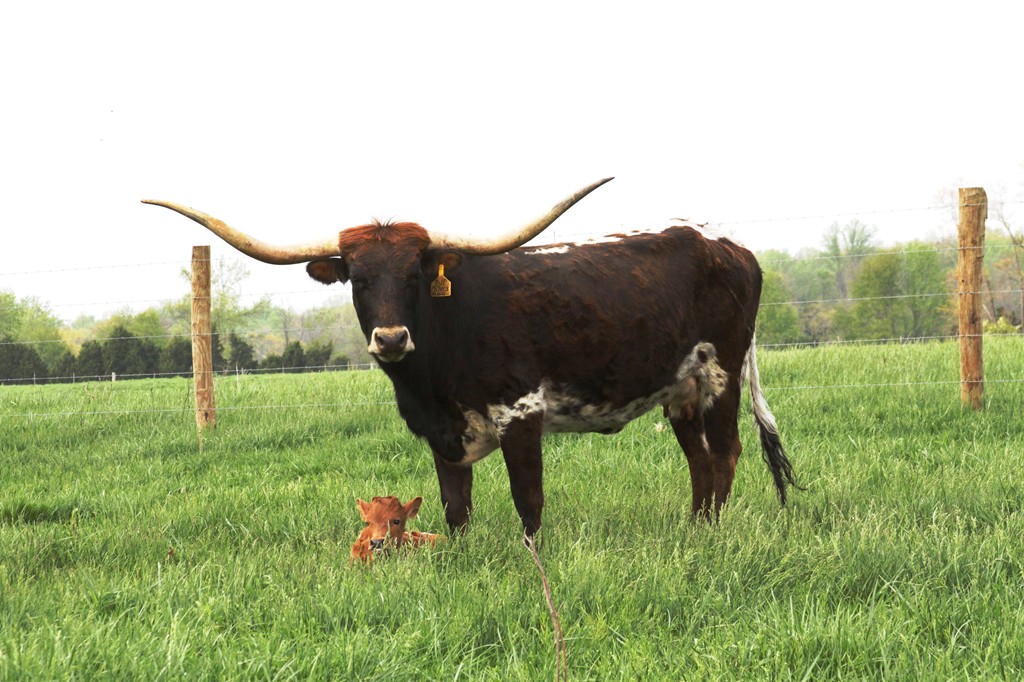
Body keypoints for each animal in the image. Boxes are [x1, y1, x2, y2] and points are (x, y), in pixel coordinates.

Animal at [143, 178, 798, 538]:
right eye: (357, 278)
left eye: (414, 275)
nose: (391, 339)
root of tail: (728, 244)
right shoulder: (441, 433)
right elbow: (455, 508)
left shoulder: (521, 411)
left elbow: (528, 502)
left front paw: (536, 560)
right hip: (681, 390)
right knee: (699, 462)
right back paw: (696, 529)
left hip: (719, 376)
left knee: (724, 454)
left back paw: (710, 535)